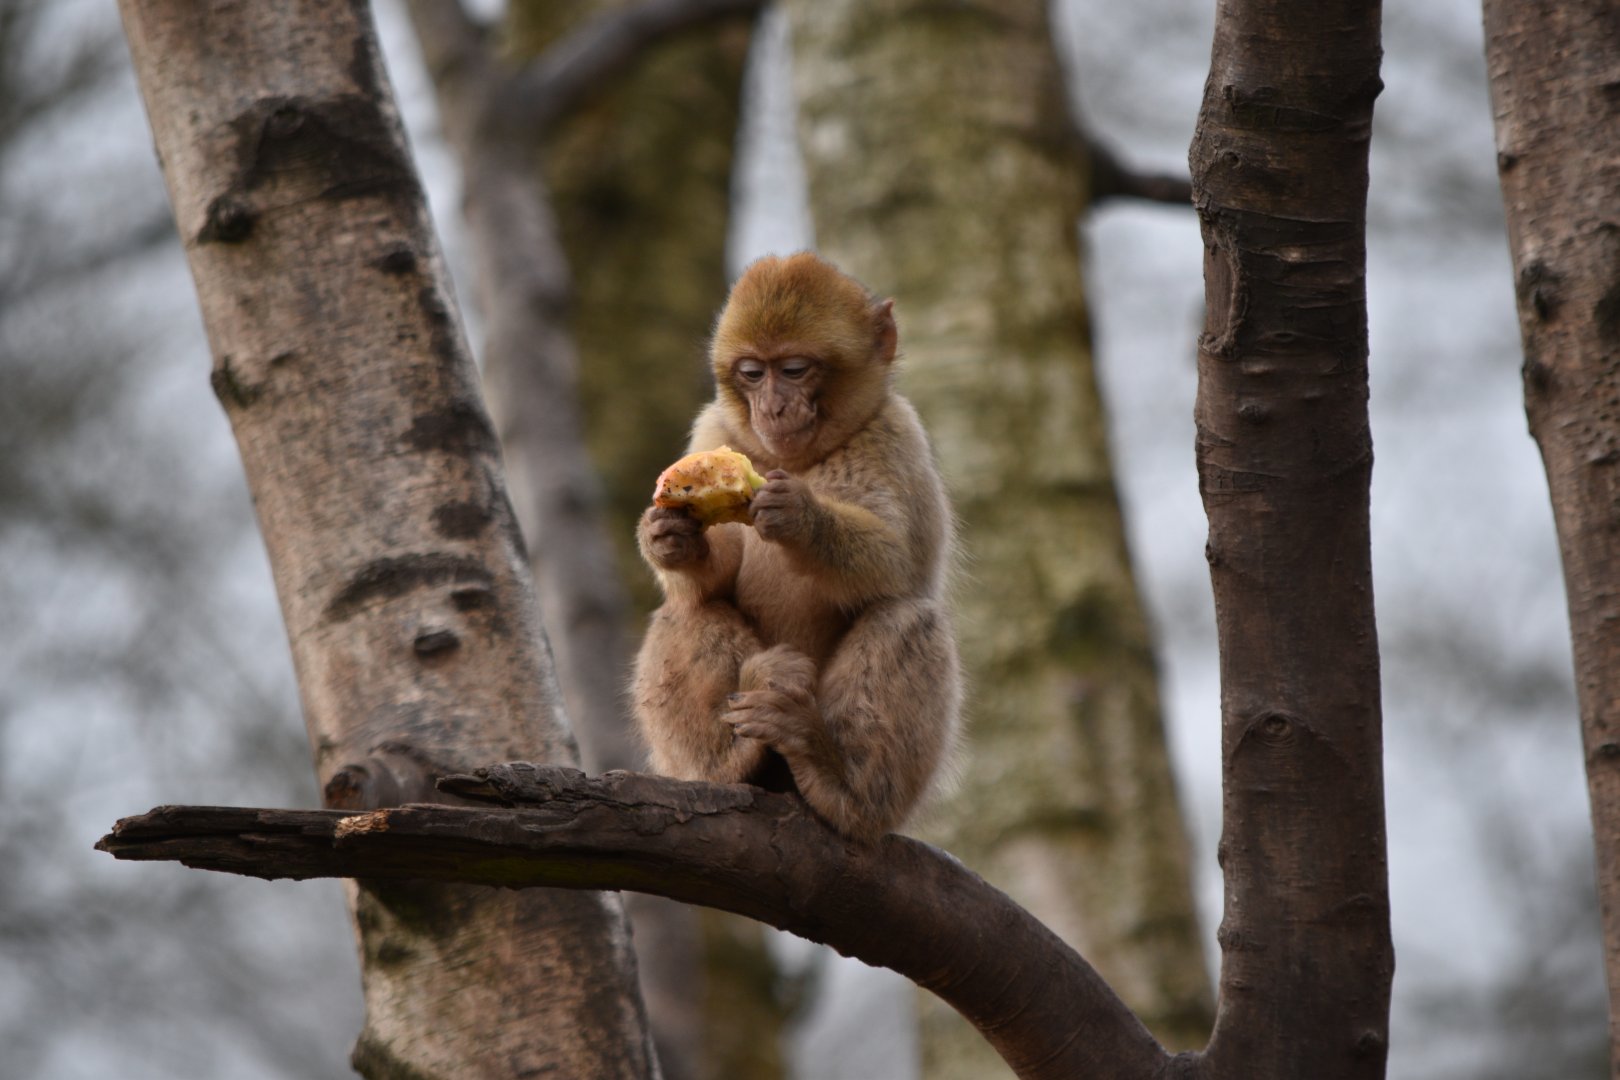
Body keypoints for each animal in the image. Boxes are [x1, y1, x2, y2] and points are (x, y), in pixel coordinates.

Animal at [632, 252, 961, 844]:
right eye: (752, 373)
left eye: (793, 370)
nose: (774, 408)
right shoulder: (711, 428)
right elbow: (712, 578)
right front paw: (670, 540)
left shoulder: (897, 434)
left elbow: (899, 565)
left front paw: (802, 518)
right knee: (688, 609)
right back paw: (729, 761)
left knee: (907, 616)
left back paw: (836, 778)